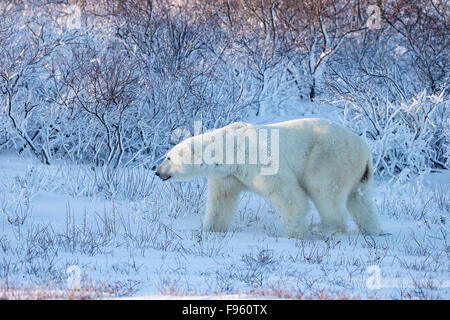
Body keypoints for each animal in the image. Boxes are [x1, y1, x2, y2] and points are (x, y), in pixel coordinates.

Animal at [156, 118, 382, 238]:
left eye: (168, 157)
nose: (157, 172)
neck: (231, 150)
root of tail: (364, 148)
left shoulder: (260, 161)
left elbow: (288, 195)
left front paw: (290, 234)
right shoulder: (229, 174)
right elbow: (220, 201)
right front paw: (208, 229)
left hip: (329, 158)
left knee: (324, 190)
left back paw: (323, 228)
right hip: (359, 173)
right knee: (361, 201)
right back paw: (372, 230)